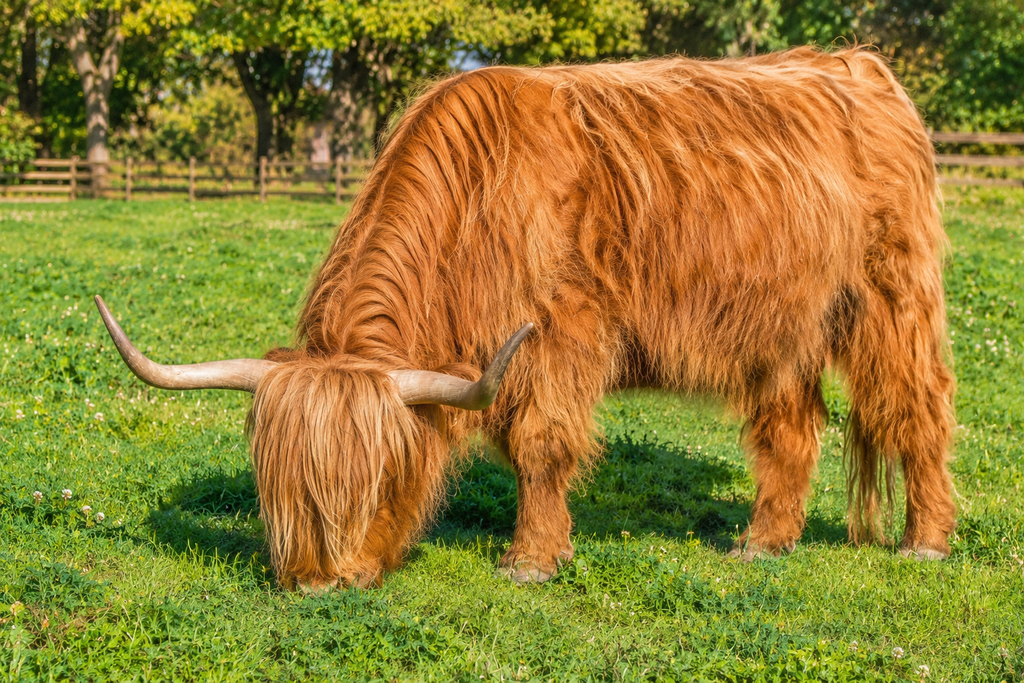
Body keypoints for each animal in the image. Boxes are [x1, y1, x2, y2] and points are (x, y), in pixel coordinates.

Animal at [96, 46, 956, 592]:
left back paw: (926, 541)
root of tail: (862, 66)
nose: (320, 584)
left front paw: (532, 559)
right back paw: (761, 542)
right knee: (790, 428)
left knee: (918, 406)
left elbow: (541, 445)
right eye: (279, 484)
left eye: (383, 478)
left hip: (893, 295)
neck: (478, 199)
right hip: (779, 325)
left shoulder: (561, 332)